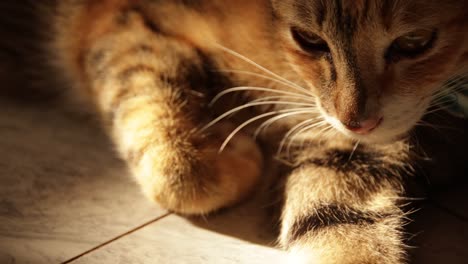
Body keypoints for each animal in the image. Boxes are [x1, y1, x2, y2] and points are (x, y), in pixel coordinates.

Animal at [0, 0, 468, 264]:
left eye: (415, 42)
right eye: (309, 40)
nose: (358, 121)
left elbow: (336, 214)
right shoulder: (117, 22)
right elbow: (182, 173)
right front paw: (233, 146)